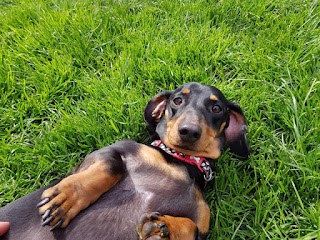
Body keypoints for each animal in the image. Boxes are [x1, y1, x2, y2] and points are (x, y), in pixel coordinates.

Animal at [0, 82, 249, 240]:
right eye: (177, 100)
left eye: (216, 108)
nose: (188, 131)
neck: (181, 162)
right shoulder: (109, 151)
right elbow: (113, 164)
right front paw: (65, 200)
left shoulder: (201, 225)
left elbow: (191, 227)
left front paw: (162, 228)